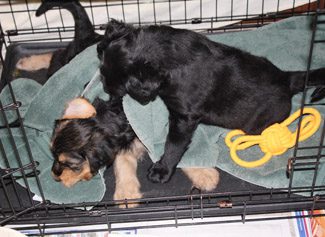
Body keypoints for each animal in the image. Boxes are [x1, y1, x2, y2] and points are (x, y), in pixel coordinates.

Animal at [50, 97, 218, 206]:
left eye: (70, 164)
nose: (54, 176)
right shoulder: (121, 146)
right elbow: (122, 163)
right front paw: (126, 194)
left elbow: (174, 150)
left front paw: (205, 174)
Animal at [97, 19, 324, 184]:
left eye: (117, 87)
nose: (106, 95)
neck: (165, 55)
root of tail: (287, 79)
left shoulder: (184, 117)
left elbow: (174, 144)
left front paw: (162, 170)